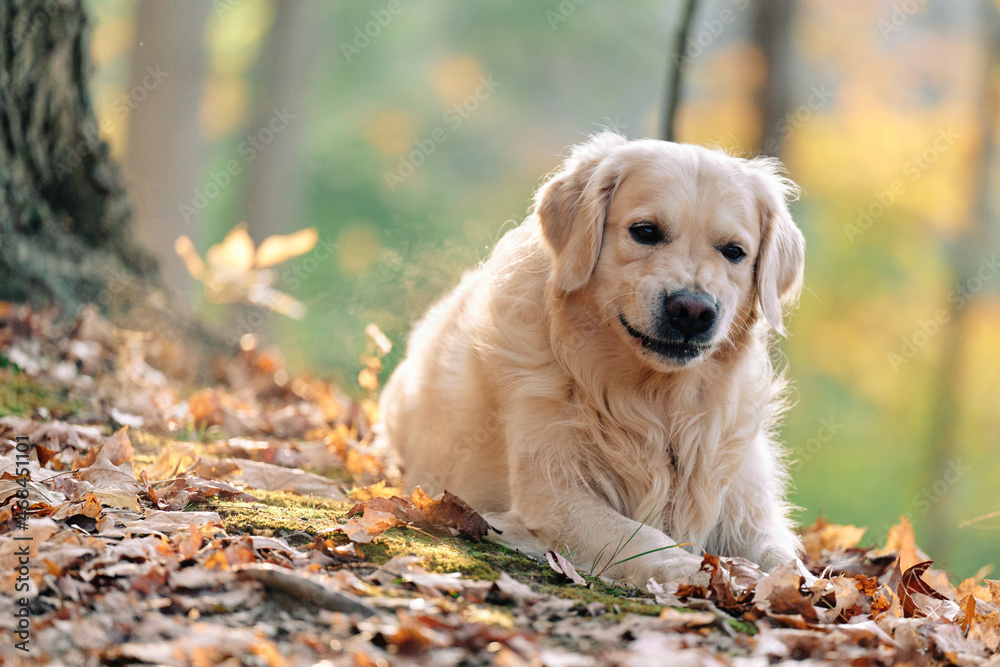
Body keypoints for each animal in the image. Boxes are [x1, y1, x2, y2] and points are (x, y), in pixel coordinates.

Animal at [378, 132, 808, 584]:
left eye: (734, 251)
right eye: (645, 231)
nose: (692, 310)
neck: (657, 401)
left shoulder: (745, 504)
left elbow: (784, 557)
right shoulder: (553, 495)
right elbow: (647, 540)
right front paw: (711, 574)